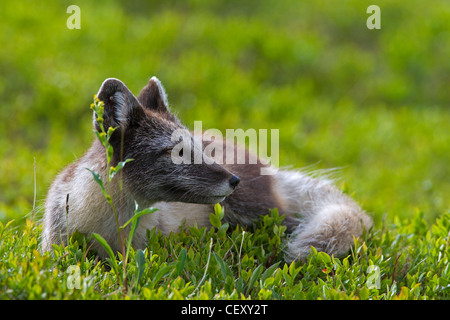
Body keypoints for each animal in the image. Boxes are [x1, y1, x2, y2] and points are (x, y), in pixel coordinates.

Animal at [41, 76, 372, 262]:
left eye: (197, 147)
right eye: (178, 152)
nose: (234, 180)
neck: (110, 231)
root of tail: (271, 170)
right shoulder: (53, 249)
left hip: (259, 214)